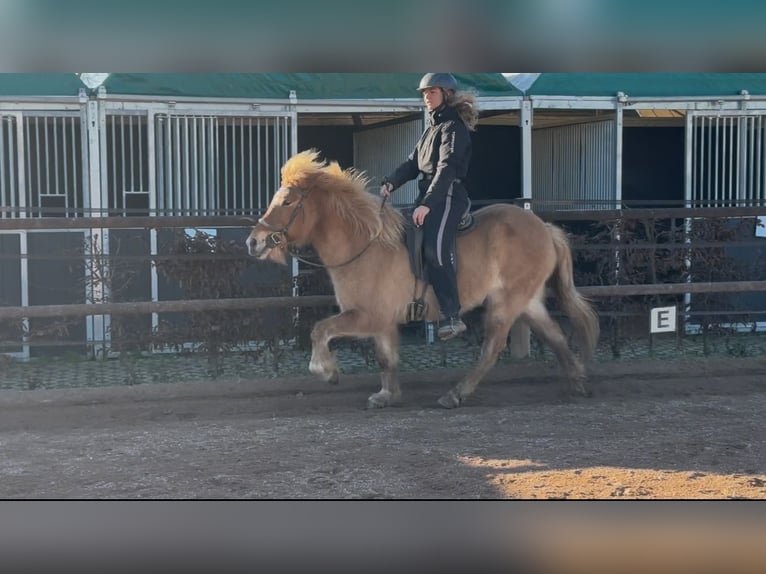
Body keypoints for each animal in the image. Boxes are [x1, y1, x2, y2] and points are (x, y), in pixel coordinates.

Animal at [246, 148, 600, 410]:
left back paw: (456, 394)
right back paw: (578, 382)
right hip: (527, 301)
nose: (254, 242)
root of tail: (545, 228)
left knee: (492, 347)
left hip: (507, 302)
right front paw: (386, 395)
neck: (365, 245)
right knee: (555, 335)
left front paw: (327, 371)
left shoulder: (368, 316)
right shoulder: (382, 322)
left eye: (287, 202)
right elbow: (385, 357)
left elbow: (320, 329)